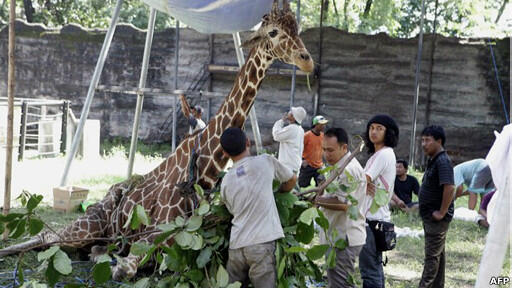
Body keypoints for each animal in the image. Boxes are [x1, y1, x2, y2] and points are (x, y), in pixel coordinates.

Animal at [0, 0, 314, 280]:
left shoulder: (183, 237)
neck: (203, 167)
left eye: (297, 28)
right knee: (46, 235)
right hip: (85, 227)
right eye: (273, 32)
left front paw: (105, 256)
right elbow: (125, 268)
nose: (307, 60)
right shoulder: (153, 234)